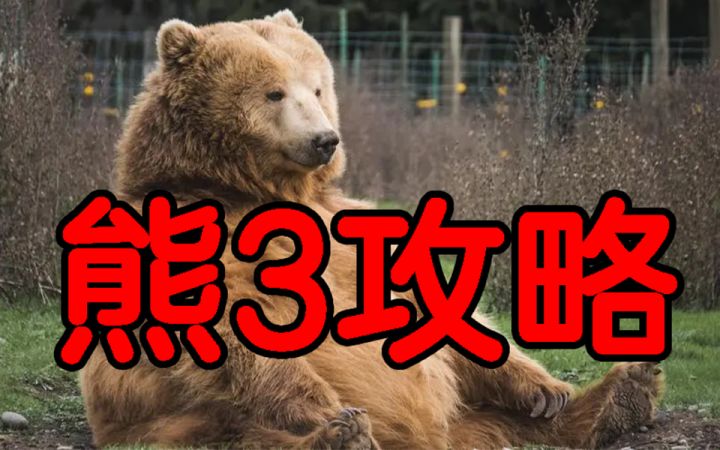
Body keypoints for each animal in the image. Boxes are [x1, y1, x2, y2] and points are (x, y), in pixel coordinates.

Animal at [80, 10, 664, 449]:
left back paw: (618, 394)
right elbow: (230, 326)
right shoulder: (193, 234)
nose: (324, 139)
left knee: (510, 424)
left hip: (468, 417)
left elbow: (440, 301)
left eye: (317, 87)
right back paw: (340, 435)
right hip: (176, 419)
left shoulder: (351, 226)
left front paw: (544, 387)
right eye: (274, 93)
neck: (266, 192)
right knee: (239, 433)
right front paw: (328, 413)